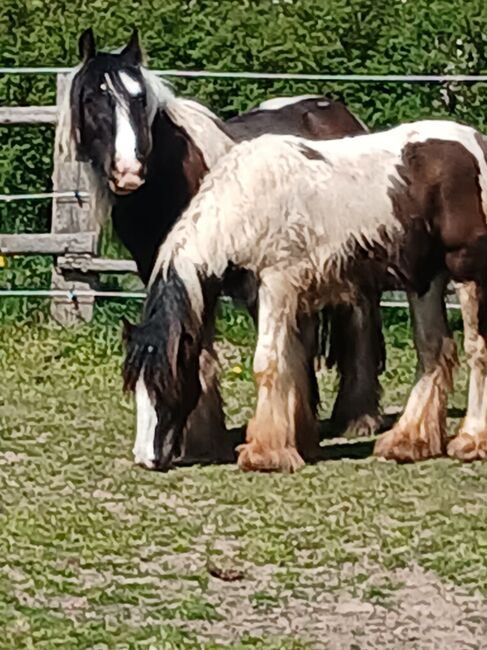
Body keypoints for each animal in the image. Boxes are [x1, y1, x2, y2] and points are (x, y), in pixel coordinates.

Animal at [56, 28, 383, 469]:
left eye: (139, 98)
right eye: (92, 98)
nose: (129, 172)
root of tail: (337, 113)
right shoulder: (168, 268)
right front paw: (202, 438)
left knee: (359, 320)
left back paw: (358, 417)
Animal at [122, 119, 487, 472]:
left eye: (164, 384)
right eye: (134, 386)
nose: (145, 458)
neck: (247, 205)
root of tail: (474, 141)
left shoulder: (276, 285)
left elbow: (267, 363)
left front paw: (264, 454)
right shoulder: (281, 296)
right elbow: (293, 362)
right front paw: (297, 441)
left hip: (466, 272)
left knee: (476, 349)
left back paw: (470, 441)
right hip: (425, 279)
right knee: (433, 350)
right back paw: (409, 441)